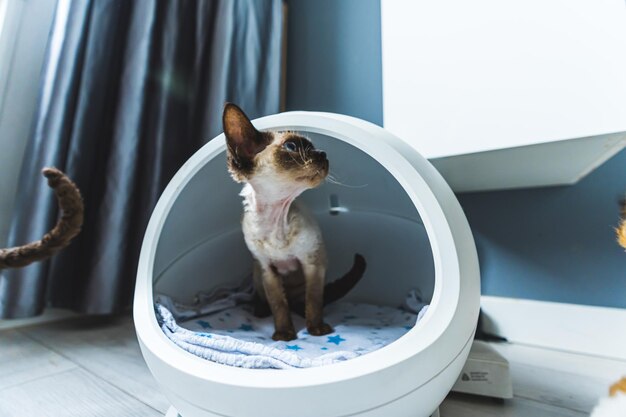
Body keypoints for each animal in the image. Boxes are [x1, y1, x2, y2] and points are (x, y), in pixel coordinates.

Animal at [222, 102, 364, 340]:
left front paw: (316, 330)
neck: (275, 220)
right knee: (266, 300)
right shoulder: (268, 270)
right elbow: (278, 305)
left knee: (304, 302)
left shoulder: (312, 263)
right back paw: (260, 312)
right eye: (291, 146)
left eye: (313, 147)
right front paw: (284, 334)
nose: (323, 153)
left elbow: (313, 301)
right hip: (257, 274)